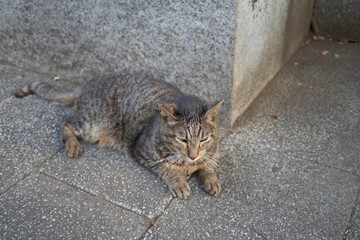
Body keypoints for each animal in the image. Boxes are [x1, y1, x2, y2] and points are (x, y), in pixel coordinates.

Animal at [15, 72, 224, 199]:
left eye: (204, 139)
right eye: (183, 140)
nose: (193, 155)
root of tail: (90, 82)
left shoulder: (211, 152)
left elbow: (208, 164)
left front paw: (211, 178)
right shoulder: (143, 152)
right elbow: (167, 168)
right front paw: (179, 182)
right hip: (91, 123)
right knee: (65, 122)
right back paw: (73, 145)